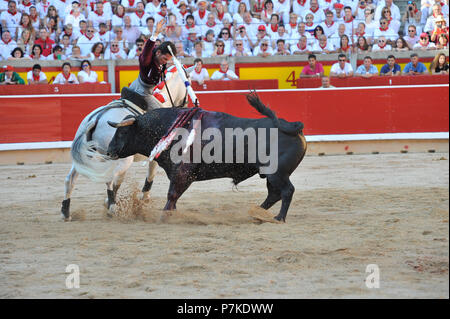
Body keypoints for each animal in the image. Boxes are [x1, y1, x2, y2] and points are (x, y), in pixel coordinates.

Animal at [107, 92, 308, 222]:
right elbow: (175, 197)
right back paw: (257, 213)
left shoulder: (182, 172)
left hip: (277, 173)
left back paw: (279, 218)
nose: (108, 151)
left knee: (286, 191)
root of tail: (292, 126)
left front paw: (165, 216)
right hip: (269, 174)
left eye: (123, 131)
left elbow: (172, 195)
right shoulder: (179, 174)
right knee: (274, 194)